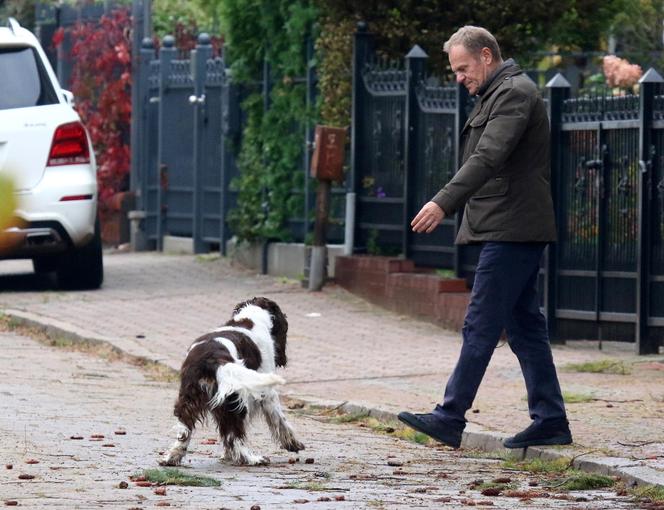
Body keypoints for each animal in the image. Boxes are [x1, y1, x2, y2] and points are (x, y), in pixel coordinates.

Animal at [160, 294, 304, 466]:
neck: (251, 318)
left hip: (190, 398)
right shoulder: (266, 392)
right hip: (235, 398)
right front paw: (293, 444)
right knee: (235, 435)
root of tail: (211, 359)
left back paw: (172, 457)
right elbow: (280, 419)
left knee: (185, 430)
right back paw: (252, 458)